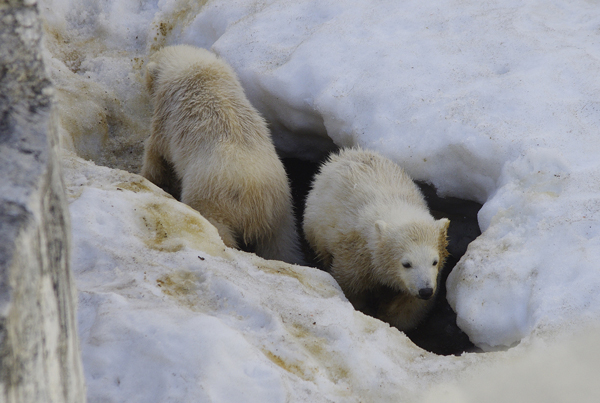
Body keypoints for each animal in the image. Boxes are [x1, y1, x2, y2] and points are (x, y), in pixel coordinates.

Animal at [142, 45, 302, 266]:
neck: (196, 68)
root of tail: (253, 193)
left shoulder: (166, 114)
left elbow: (157, 154)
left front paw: (147, 178)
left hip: (212, 197)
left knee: (217, 227)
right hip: (280, 211)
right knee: (282, 244)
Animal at [304, 148, 450, 332]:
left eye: (434, 261)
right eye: (406, 263)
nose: (425, 290)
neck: (396, 206)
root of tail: (345, 153)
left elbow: (409, 307)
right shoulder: (357, 256)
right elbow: (351, 287)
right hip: (317, 225)